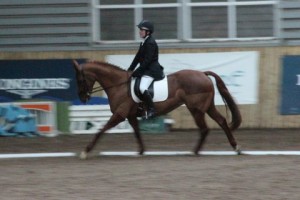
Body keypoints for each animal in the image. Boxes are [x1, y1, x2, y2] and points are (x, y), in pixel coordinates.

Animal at [72, 60, 241, 159]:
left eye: (80, 79)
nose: (82, 98)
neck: (118, 85)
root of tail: (203, 73)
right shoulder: (131, 115)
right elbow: (137, 132)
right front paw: (141, 151)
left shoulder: (120, 114)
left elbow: (101, 130)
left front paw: (85, 151)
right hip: (207, 107)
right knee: (221, 121)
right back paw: (235, 147)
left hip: (196, 109)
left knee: (205, 128)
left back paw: (195, 151)